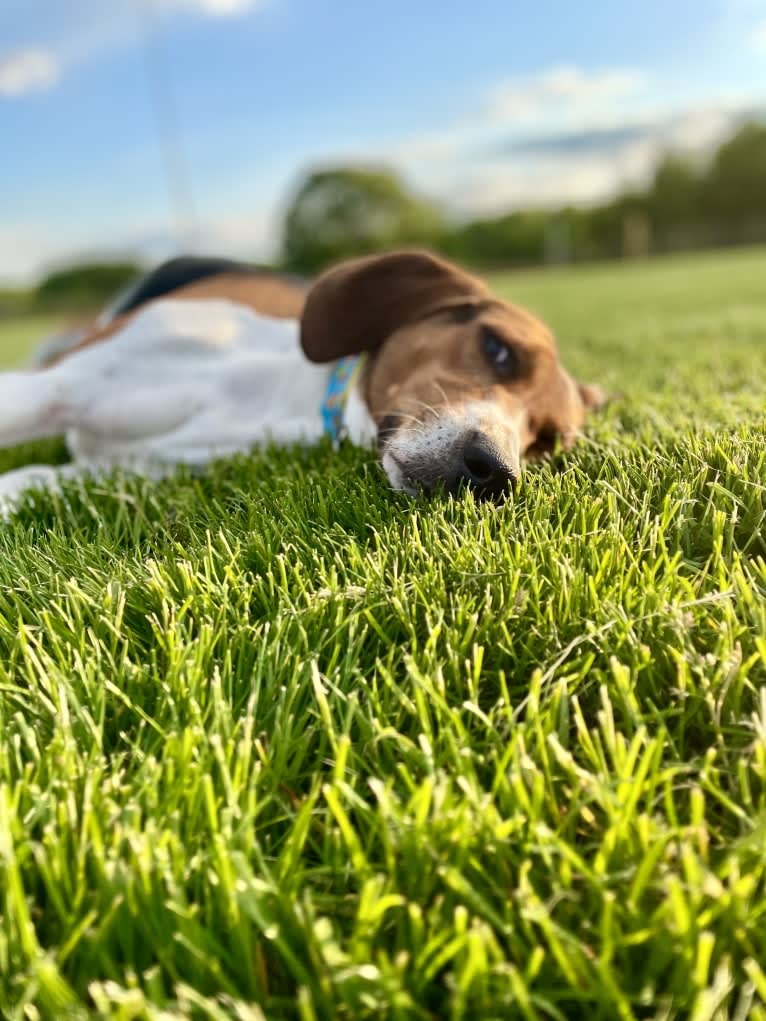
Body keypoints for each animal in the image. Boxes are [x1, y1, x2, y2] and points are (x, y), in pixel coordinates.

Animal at [0, 248, 604, 510]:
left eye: (546, 442)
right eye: (498, 349)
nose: (495, 472)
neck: (294, 394)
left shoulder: (123, 470)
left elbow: (32, 480)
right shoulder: (62, 387)